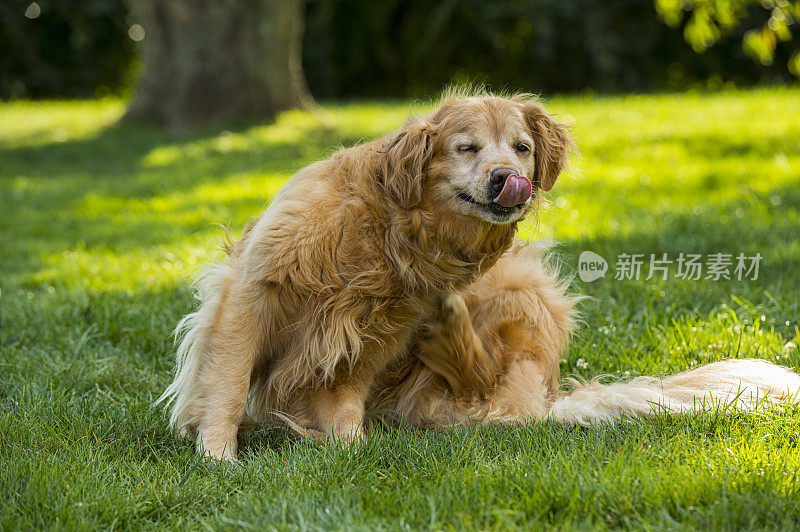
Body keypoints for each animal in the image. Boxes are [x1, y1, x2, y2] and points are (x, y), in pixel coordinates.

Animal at [158, 90, 568, 458]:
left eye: (522, 148)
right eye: (466, 148)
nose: (506, 177)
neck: (391, 225)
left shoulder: (369, 329)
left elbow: (344, 397)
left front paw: (351, 447)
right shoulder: (254, 289)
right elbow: (230, 380)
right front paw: (217, 452)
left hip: (523, 282)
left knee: (485, 380)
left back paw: (448, 323)